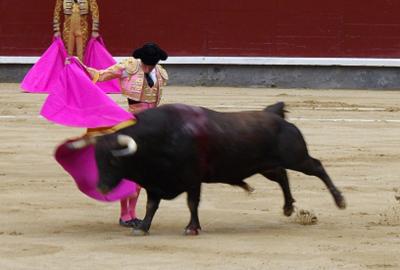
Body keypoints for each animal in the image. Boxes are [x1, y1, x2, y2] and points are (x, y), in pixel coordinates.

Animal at [69, 102, 344, 235]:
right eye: (96, 159)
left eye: (114, 161)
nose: (102, 188)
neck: (161, 137)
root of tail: (275, 115)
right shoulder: (155, 183)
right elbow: (151, 206)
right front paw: (142, 227)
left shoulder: (193, 179)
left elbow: (192, 203)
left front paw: (192, 228)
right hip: (267, 165)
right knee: (282, 177)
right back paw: (287, 208)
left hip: (296, 157)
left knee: (317, 167)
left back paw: (340, 200)